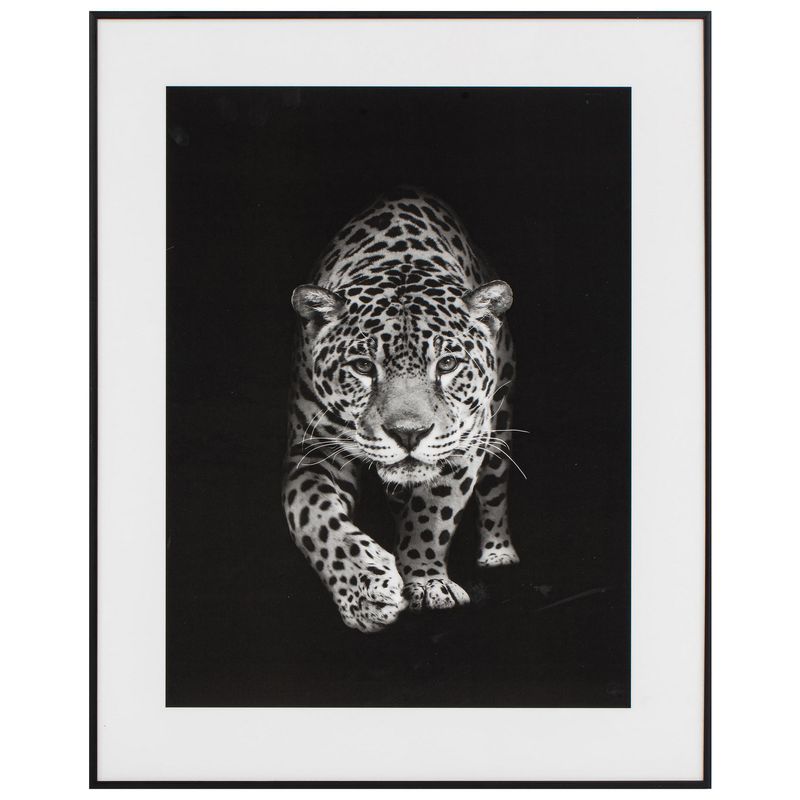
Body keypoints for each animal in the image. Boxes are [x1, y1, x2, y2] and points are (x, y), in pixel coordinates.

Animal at [282, 187, 519, 632]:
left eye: (447, 364)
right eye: (362, 367)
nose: (409, 433)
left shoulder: (464, 444)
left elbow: (432, 515)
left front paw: (425, 581)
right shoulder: (312, 451)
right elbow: (313, 516)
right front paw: (366, 592)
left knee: (495, 487)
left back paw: (498, 553)